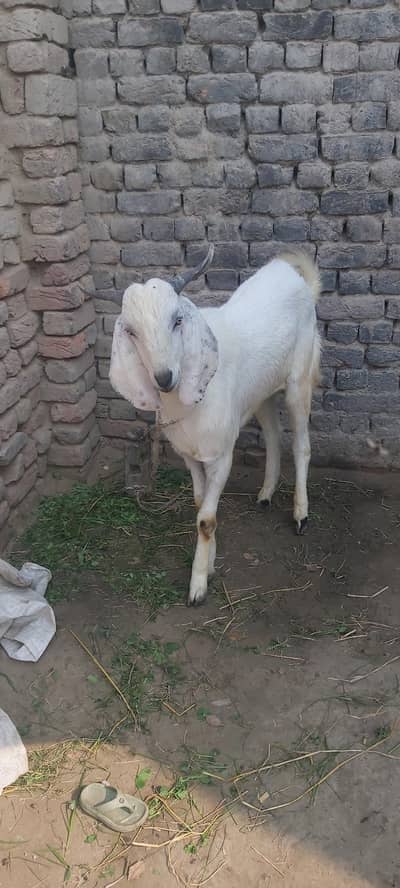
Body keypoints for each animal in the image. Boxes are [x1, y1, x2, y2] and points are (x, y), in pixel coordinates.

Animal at [110, 248, 321, 606]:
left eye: (177, 320)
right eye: (132, 331)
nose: (164, 377)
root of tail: (293, 274)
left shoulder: (221, 455)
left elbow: (206, 520)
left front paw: (197, 585)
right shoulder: (190, 455)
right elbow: (199, 505)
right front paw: (208, 565)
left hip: (299, 380)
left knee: (301, 446)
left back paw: (300, 514)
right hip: (261, 393)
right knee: (273, 436)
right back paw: (265, 494)